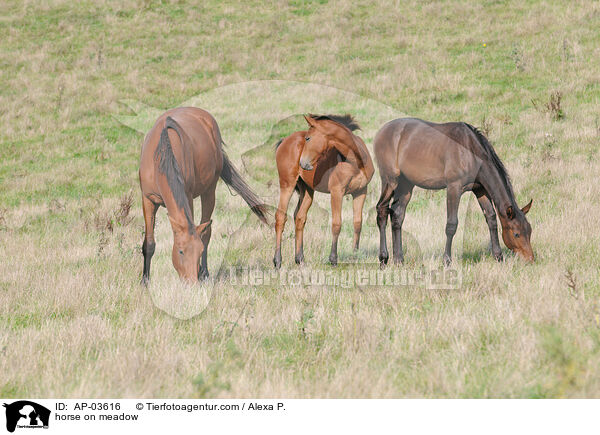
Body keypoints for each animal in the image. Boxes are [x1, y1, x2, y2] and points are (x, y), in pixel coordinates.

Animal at [139, 107, 266, 284]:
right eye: (180, 251)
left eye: (198, 252)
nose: (191, 282)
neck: (162, 155)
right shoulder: (148, 200)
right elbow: (149, 243)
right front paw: (145, 282)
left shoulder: (188, 196)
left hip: (209, 191)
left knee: (206, 232)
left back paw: (205, 273)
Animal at [274, 114, 376, 268]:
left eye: (308, 138)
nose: (302, 163)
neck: (355, 162)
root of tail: (285, 140)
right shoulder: (336, 192)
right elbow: (337, 224)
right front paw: (333, 259)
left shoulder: (361, 192)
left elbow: (358, 223)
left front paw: (354, 255)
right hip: (287, 184)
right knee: (280, 217)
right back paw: (277, 261)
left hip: (307, 190)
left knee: (300, 217)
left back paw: (300, 259)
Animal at [376, 119, 536, 268]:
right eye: (516, 234)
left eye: (529, 230)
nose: (530, 259)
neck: (470, 152)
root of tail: (382, 130)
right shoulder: (454, 188)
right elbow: (451, 225)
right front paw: (447, 261)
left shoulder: (480, 190)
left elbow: (491, 219)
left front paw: (498, 257)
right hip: (390, 181)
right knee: (382, 210)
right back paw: (384, 259)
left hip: (406, 185)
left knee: (397, 216)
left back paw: (399, 260)